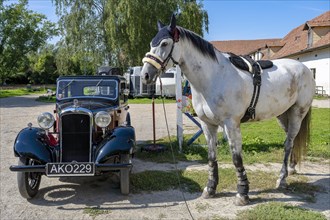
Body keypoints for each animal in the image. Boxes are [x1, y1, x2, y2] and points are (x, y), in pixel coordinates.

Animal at [140, 14, 314, 205]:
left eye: (164, 43)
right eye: (151, 43)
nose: (145, 75)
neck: (213, 77)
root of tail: (304, 69)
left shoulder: (231, 124)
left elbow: (236, 159)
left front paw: (242, 193)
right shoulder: (207, 125)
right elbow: (211, 157)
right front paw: (210, 189)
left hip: (297, 113)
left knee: (289, 143)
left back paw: (282, 179)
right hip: (283, 115)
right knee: (291, 141)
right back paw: (291, 169)